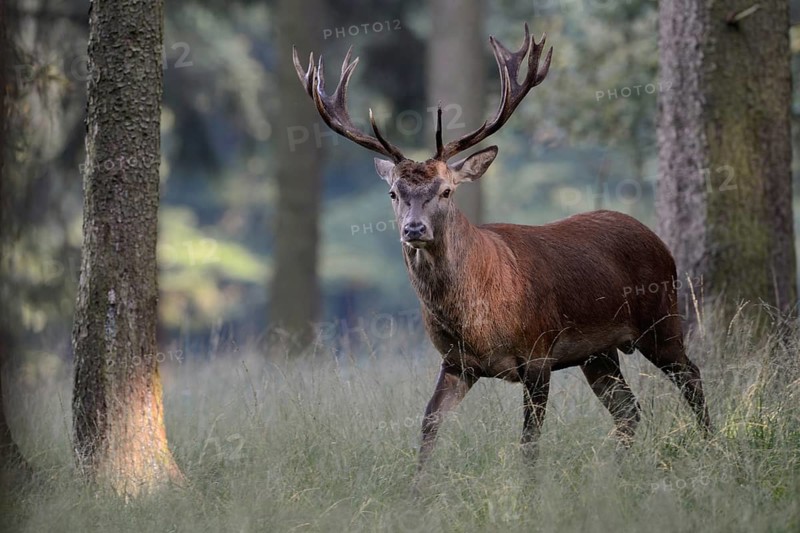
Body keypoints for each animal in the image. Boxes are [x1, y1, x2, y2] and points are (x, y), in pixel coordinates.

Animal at [293, 23, 712, 477]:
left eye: (446, 190)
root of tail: (657, 240)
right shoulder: (455, 363)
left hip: (661, 319)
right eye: (394, 193)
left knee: (691, 376)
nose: (413, 228)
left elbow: (529, 443)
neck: (479, 317)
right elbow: (428, 425)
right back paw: (615, 474)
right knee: (629, 410)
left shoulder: (539, 353)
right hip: (599, 352)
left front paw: (528, 489)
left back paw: (713, 445)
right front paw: (417, 487)